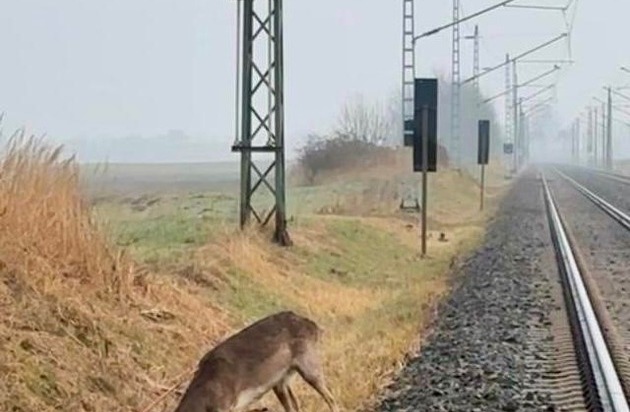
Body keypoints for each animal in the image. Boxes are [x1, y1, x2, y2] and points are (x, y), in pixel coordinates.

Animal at [173, 310, 340, 410]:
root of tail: (315, 327)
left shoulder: (227, 405)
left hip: (309, 363)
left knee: (330, 396)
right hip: (282, 379)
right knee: (294, 404)